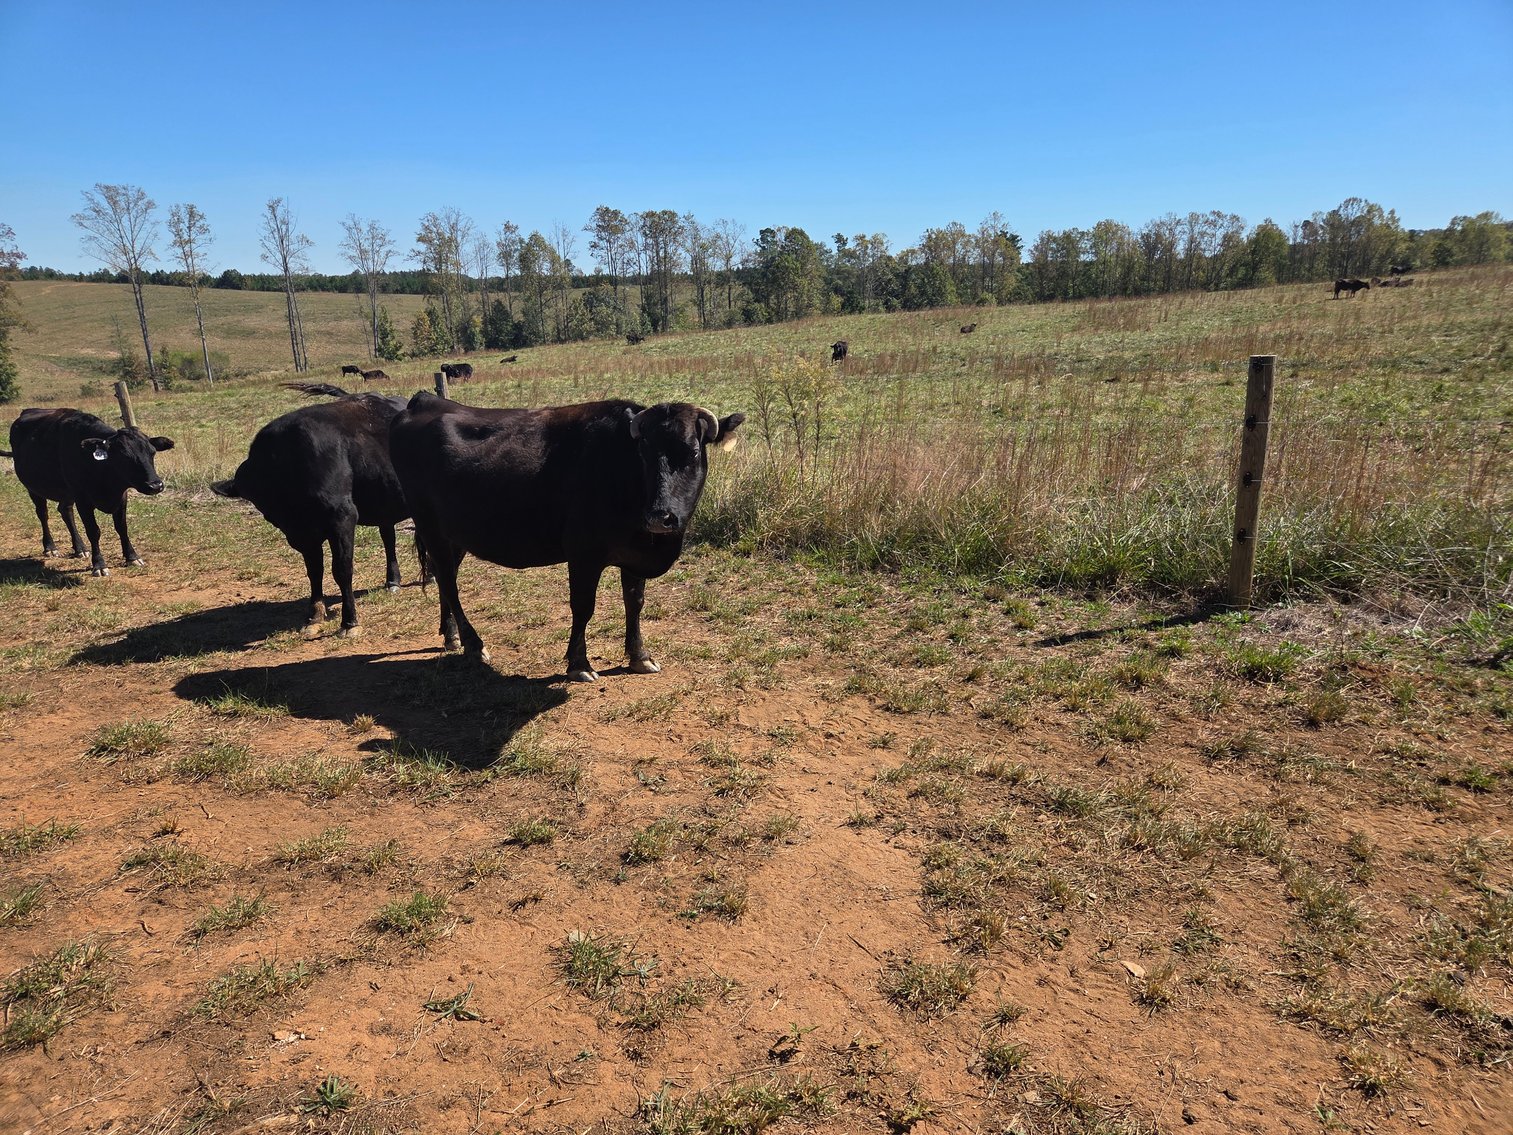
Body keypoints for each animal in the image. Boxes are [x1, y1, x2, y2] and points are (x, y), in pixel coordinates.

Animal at [2, 409, 173, 576]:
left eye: (152, 452)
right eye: (124, 455)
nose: (155, 485)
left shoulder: (121, 497)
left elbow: (122, 527)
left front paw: (132, 557)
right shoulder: (83, 500)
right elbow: (93, 531)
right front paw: (99, 564)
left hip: (67, 493)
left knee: (65, 511)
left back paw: (80, 548)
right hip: (33, 488)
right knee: (43, 514)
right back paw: (50, 547)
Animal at [211, 383, 414, 638]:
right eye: (264, 507)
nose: (294, 531)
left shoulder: (342, 517)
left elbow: (341, 569)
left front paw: (349, 622)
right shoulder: (308, 535)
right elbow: (314, 570)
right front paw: (315, 615)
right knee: (389, 536)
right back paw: (393, 581)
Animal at [390, 393, 744, 683]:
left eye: (693, 452)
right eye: (644, 453)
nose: (660, 516)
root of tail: (424, 402)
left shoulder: (633, 556)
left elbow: (635, 603)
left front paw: (640, 657)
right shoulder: (583, 553)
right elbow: (583, 606)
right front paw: (579, 663)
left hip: (455, 534)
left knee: (444, 578)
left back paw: (451, 636)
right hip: (429, 525)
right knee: (448, 582)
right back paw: (474, 645)